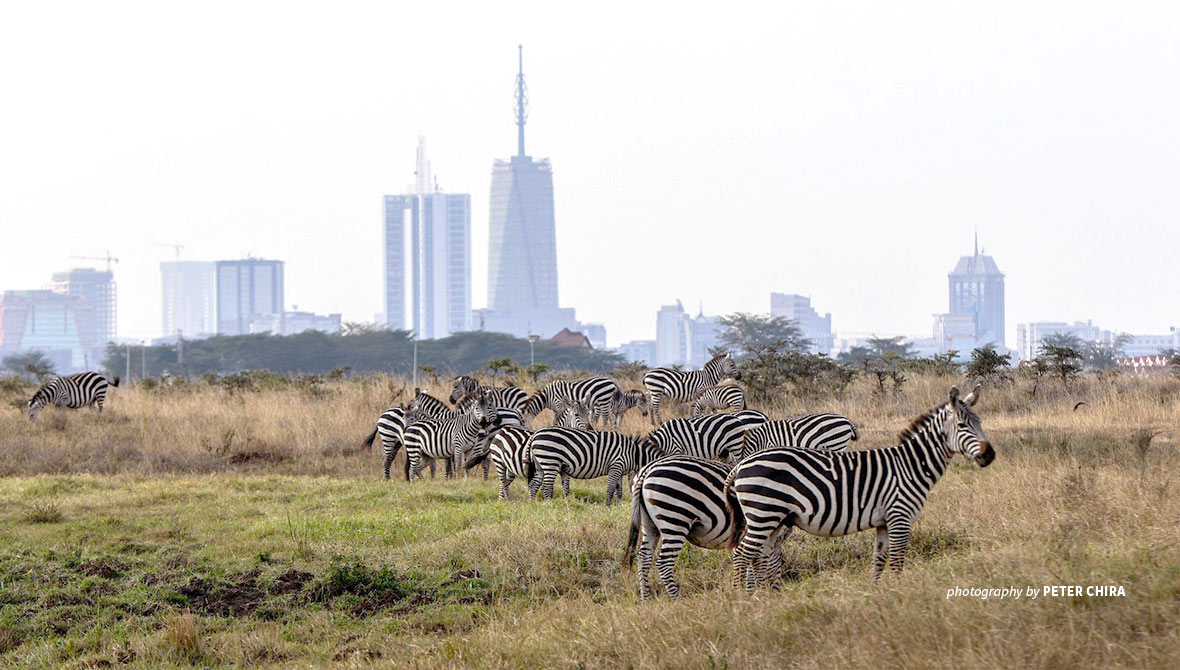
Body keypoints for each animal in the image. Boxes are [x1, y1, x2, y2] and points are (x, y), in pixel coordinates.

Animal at [460, 401, 590, 500]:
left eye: (588, 414)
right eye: (577, 415)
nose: (590, 429)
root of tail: (501, 431)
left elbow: (563, 486)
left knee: (504, 483)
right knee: (502, 482)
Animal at [526, 427, 665, 504]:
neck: (633, 453)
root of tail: (534, 435)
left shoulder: (620, 470)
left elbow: (619, 491)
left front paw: (618, 505)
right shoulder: (616, 465)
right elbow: (610, 488)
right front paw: (608, 506)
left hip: (540, 465)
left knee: (534, 484)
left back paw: (533, 504)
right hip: (550, 461)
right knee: (546, 487)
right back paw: (549, 505)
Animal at [627, 455, 783, 601]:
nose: (778, 594)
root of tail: (649, 468)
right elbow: (761, 562)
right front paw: (752, 593)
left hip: (649, 525)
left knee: (643, 558)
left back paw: (645, 599)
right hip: (675, 519)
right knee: (664, 564)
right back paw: (677, 601)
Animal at [726, 384, 995, 589]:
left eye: (980, 422)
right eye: (962, 426)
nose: (989, 455)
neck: (910, 466)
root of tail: (739, 466)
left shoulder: (884, 522)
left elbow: (879, 561)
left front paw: (877, 595)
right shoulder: (900, 517)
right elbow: (897, 562)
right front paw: (899, 595)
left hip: (772, 518)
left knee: (759, 555)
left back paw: (763, 595)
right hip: (764, 514)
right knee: (742, 554)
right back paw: (742, 598)